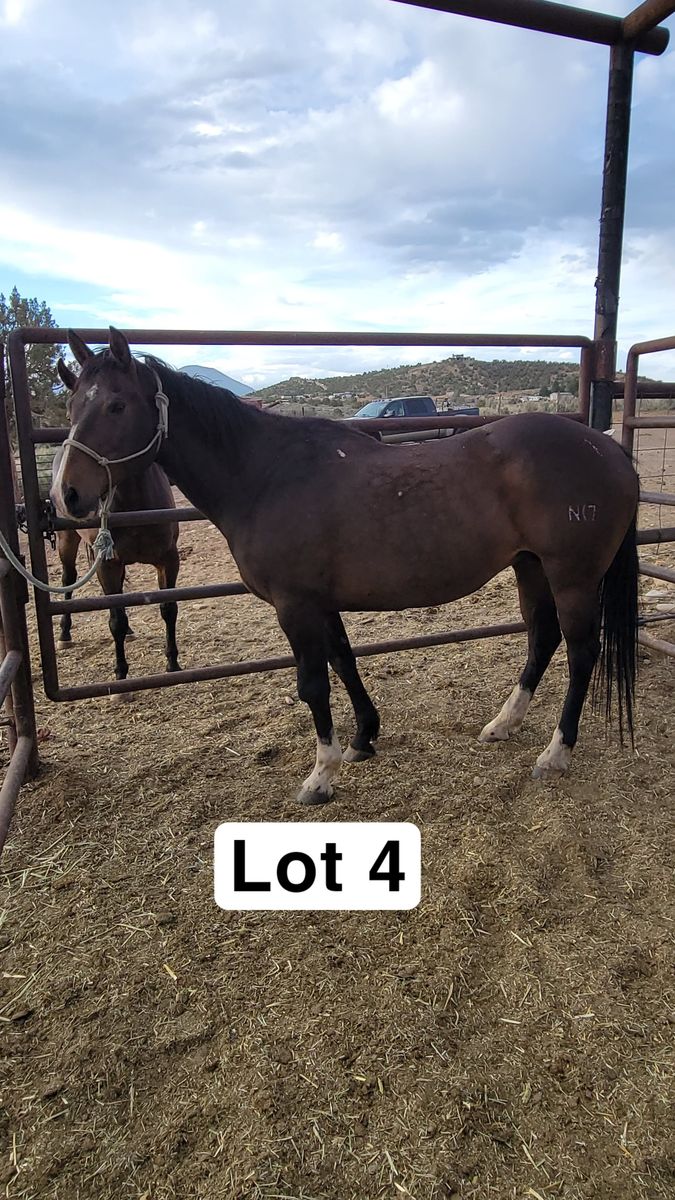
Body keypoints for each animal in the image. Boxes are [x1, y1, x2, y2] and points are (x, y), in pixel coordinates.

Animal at [50, 371, 182, 689]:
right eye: (70, 411)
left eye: (117, 407)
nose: (68, 492)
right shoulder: (107, 566)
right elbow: (115, 620)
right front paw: (121, 674)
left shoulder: (168, 560)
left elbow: (168, 609)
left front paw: (172, 662)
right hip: (67, 541)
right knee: (69, 578)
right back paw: (64, 633)